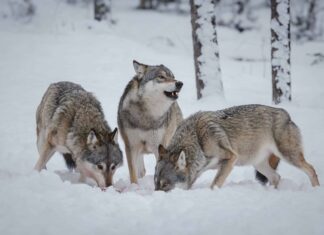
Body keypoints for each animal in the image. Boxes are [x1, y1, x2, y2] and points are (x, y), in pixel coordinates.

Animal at [154, 104, 318, 191]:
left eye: (165, 185)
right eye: (155, 184)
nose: (156, 196)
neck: (198, 140)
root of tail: (285, 113)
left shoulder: (231, 158)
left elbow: (214, 184)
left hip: (289, 156)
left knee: (311, 169)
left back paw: (316, 189)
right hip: (258, 164)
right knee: (276, 177)